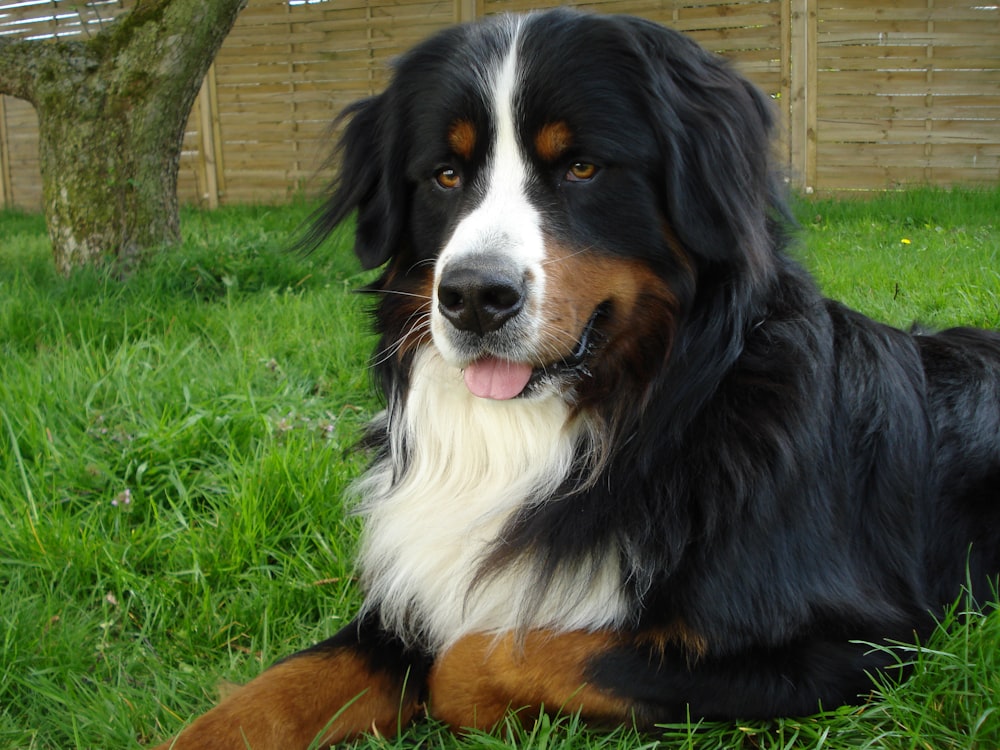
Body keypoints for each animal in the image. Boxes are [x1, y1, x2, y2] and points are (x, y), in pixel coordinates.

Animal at [156, 7, 1000, 750]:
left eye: (582, 166)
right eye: (445, 174)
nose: (474, 297)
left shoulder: (852, 642)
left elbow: (483, 656)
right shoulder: (414, 589)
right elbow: (276, 691)